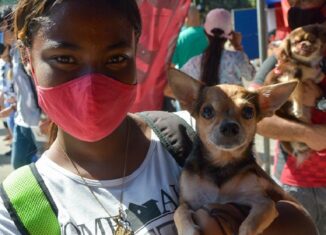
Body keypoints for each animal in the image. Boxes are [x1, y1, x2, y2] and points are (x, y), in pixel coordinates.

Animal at [168, 69, 304, 235]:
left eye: (248, 112)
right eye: (207, 111)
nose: (229, 126)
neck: (221, 165)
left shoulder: (264, 203)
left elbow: (249, 224)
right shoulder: (187, 202)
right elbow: (179, 212)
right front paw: (188, 230)